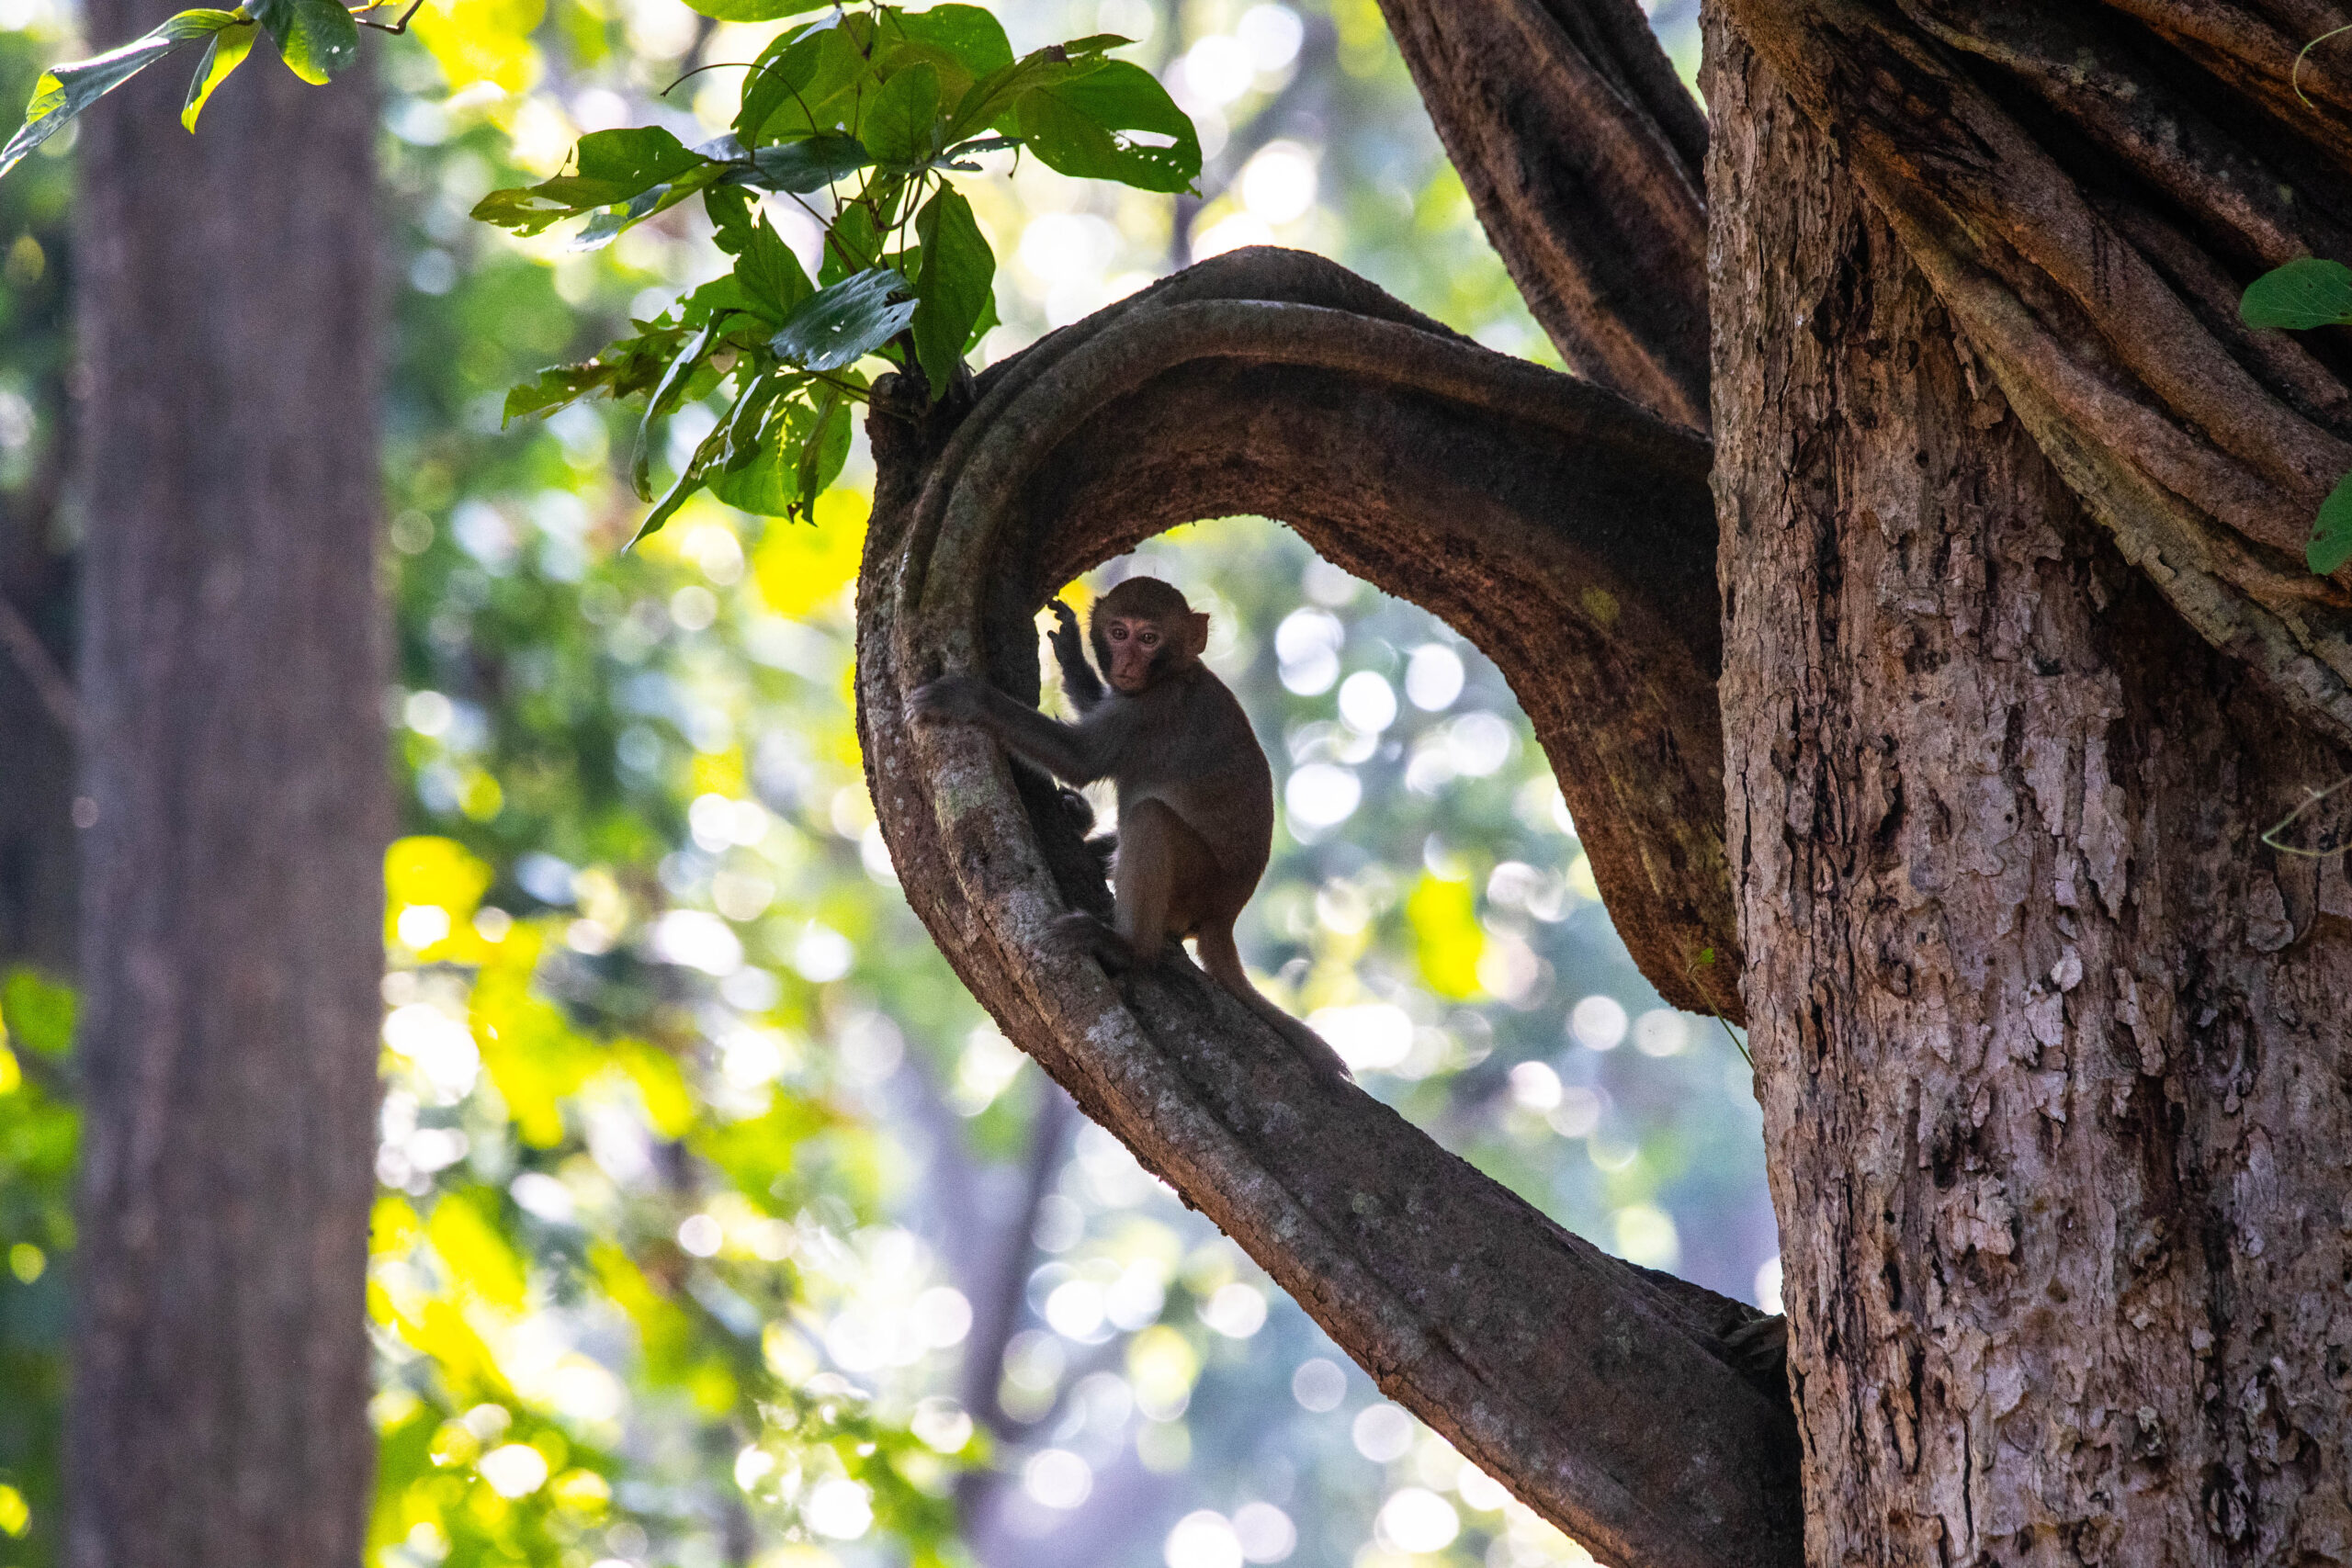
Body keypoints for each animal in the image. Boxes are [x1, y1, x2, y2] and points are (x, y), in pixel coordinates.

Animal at [913, 576, 1350, 1081]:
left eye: (1149, 638)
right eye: (1119, 633)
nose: (1125, 665)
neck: (1175, 673)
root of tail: (1226, 914)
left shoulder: (1149, 712)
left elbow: (1080, 759)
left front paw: (965, 699)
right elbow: (1091, 717)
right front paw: (1073, 654)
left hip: (1197, 883)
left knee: (1148, 819)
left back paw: (1129, 948)